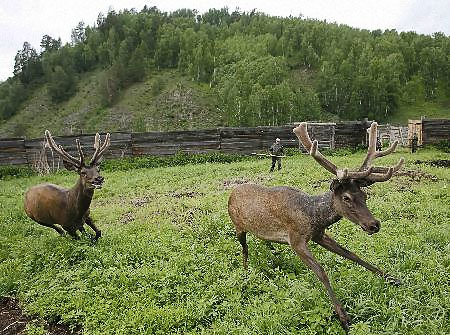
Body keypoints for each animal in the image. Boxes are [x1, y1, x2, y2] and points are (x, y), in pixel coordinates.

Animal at [229, 122, 404, 332]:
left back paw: (271, 251)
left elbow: (352, 255)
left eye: (364, 195)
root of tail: (231, 193)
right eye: (346, 197)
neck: (312, 216)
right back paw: (246, 271)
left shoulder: (319, 234)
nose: (374, 224)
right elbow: (321, 271)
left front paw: (391, 278)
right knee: (244, 248)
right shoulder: (296, 239)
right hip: (237, 226)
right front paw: (344, 318)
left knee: (261, 240)